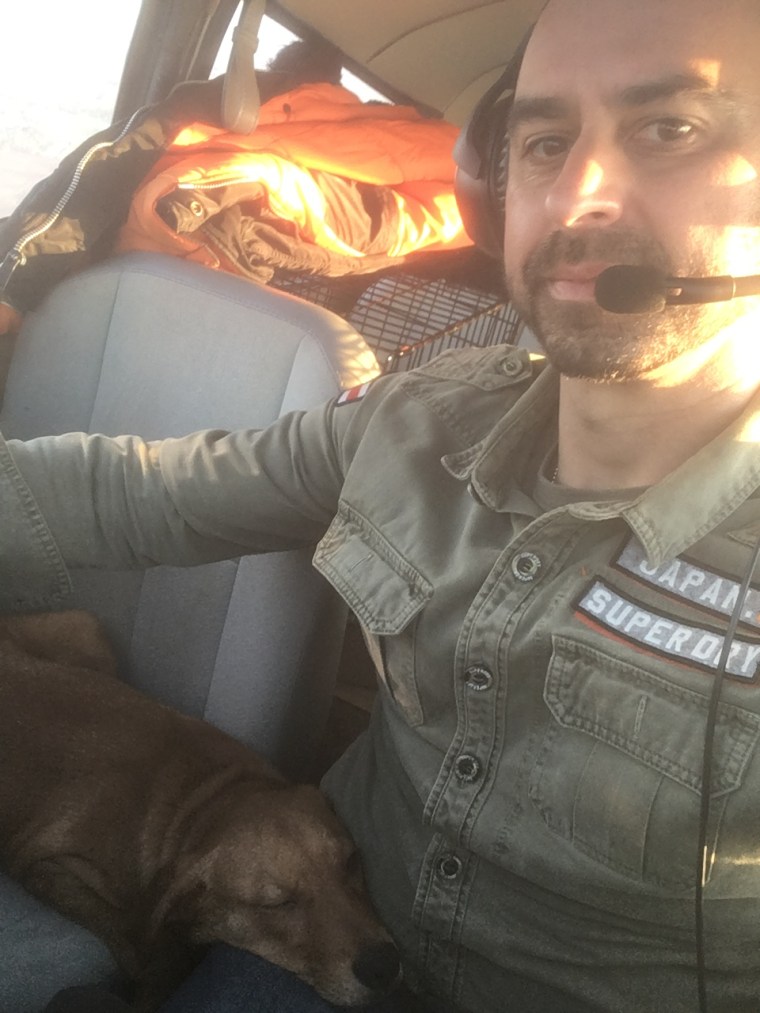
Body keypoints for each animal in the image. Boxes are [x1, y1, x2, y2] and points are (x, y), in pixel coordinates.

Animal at [0, 607, 405, 1013]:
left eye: (350, 862)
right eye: (276, 905)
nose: (383, 966)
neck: (201, 800)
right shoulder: (47, 867)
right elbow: (135, 936)